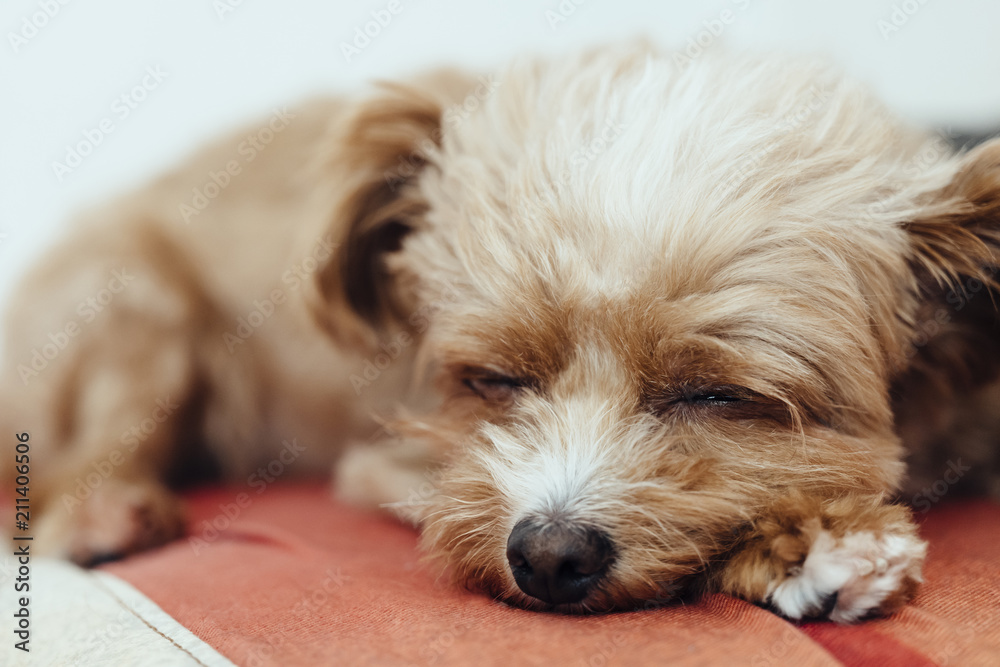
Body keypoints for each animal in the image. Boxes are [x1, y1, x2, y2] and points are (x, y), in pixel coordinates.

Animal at [5, 44, 1000, 624]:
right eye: (494, 377)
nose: (548, 556)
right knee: (64, 475)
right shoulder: (413, 470)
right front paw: (809, 544)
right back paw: (106, 510)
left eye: (719, 395)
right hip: (136, 305)